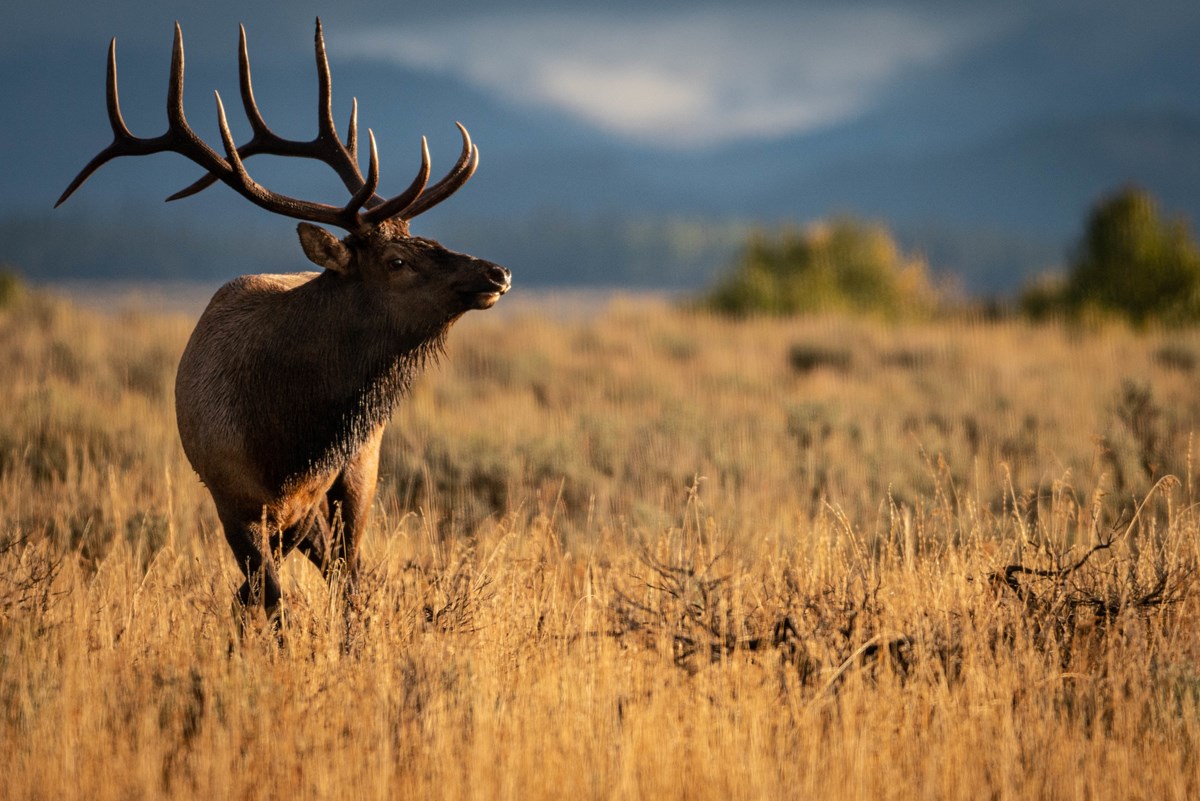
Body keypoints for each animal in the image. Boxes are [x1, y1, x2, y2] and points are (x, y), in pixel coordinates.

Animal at [55, 20, 511, 628]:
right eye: (396, 261)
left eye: (427, 239)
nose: (496, 272)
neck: (288, 439)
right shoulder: (233, 498)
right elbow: (272, 603)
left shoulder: (322, 493)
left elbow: (304, 594)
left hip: (359, 476)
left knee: (351, 579)